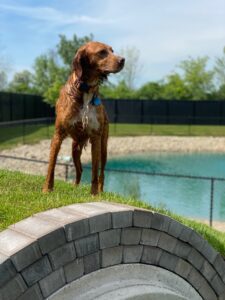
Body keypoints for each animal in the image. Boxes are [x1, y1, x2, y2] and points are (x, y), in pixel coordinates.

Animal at [42, 41, 125, 195]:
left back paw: (100, 191)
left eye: (112, 51)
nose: (123, 60)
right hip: (75, 148)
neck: (85, 90)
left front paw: (94, 194)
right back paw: (75, 187)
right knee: (79, 169)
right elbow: (51, 166)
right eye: (102, 52)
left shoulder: (96, 138)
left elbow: (94, 172)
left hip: (103, 147)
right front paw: (47, 189)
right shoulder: (58, 134)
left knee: (101, 173)